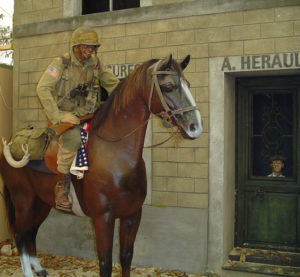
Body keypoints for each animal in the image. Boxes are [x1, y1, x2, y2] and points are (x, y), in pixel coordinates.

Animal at [0, 54, 203, 276]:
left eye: (187, 84)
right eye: (168, 86)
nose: (195, 127)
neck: (117, 157)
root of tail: (12, 143)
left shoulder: (132, 215)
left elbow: (126, 257)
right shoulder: (103, 218)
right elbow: (105, 262)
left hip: (41, 202)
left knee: (31, 232)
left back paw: (38, 268)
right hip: (23, 199)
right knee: (20, 233)